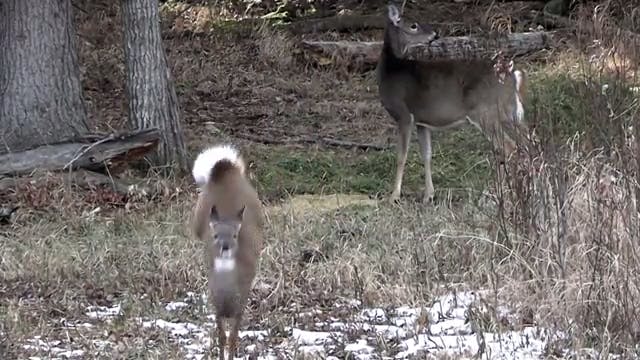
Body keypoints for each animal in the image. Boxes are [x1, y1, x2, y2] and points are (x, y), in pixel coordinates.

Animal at [191, 143, 266, 360]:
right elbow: (221, 337)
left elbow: (233, 338)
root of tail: (224, 167)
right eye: (215, 235)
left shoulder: (242, 301)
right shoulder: (215, 302)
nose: (225, 246)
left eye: (234, 236)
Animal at [378, 2, 528, 204]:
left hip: (486, 113)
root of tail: (512, 75)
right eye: (414, 25)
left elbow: (401, 155)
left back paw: (497, 195)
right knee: (528, 143)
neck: (390, 71)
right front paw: (428, 195)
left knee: (509, 148)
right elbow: (427, 155)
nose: (435, 35)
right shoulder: (421, 121)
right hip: (512, 113)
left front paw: (394, 196)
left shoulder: (404, 114)